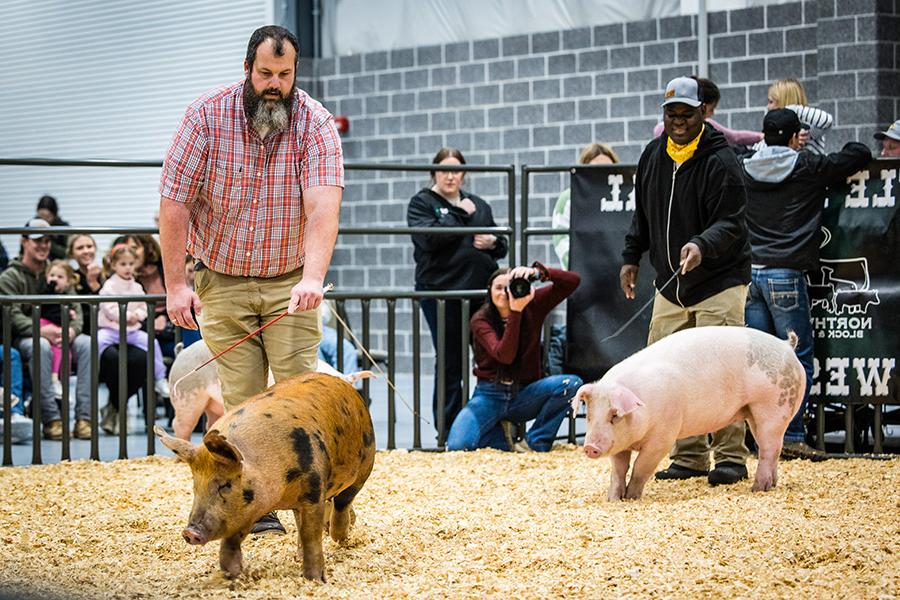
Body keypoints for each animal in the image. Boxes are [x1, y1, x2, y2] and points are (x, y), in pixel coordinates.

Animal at [155, 372, 376, 580]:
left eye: (225, 485)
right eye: (195, 487)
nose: (189, 532)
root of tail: (343, 383)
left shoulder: (313, 490)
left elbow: (311, 536)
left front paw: (315, 579)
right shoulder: (247, 508)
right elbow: (231, 542)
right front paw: (231, 575)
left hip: (365, 462)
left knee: (343, 501)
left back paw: (340, 538)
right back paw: (301, 553)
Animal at [572, 326, 804, 500]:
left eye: (614, 415)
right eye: (589, 415)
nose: (590, 447)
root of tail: (787, 346)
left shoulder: (663, 437)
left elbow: (640, 468)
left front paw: (631, 498)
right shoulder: (620, 442)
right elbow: (619, 469)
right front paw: (614, 499)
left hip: (774, 407)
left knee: (768, 449)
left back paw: (757, 489)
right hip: (754, 413)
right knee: (773, 449)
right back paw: (771, 485)